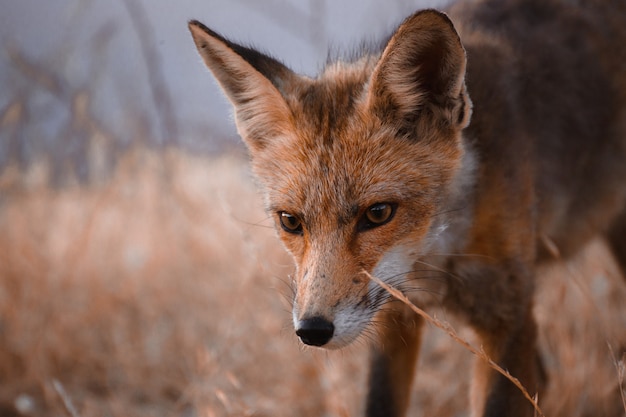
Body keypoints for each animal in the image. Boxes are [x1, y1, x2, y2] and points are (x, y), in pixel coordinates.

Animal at [188, 0, 624, 414]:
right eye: (290, 221)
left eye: (378, 213)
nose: (312, 330)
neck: (434, 258)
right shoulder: (394, 318)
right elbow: (380, 403)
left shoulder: (508, 318)